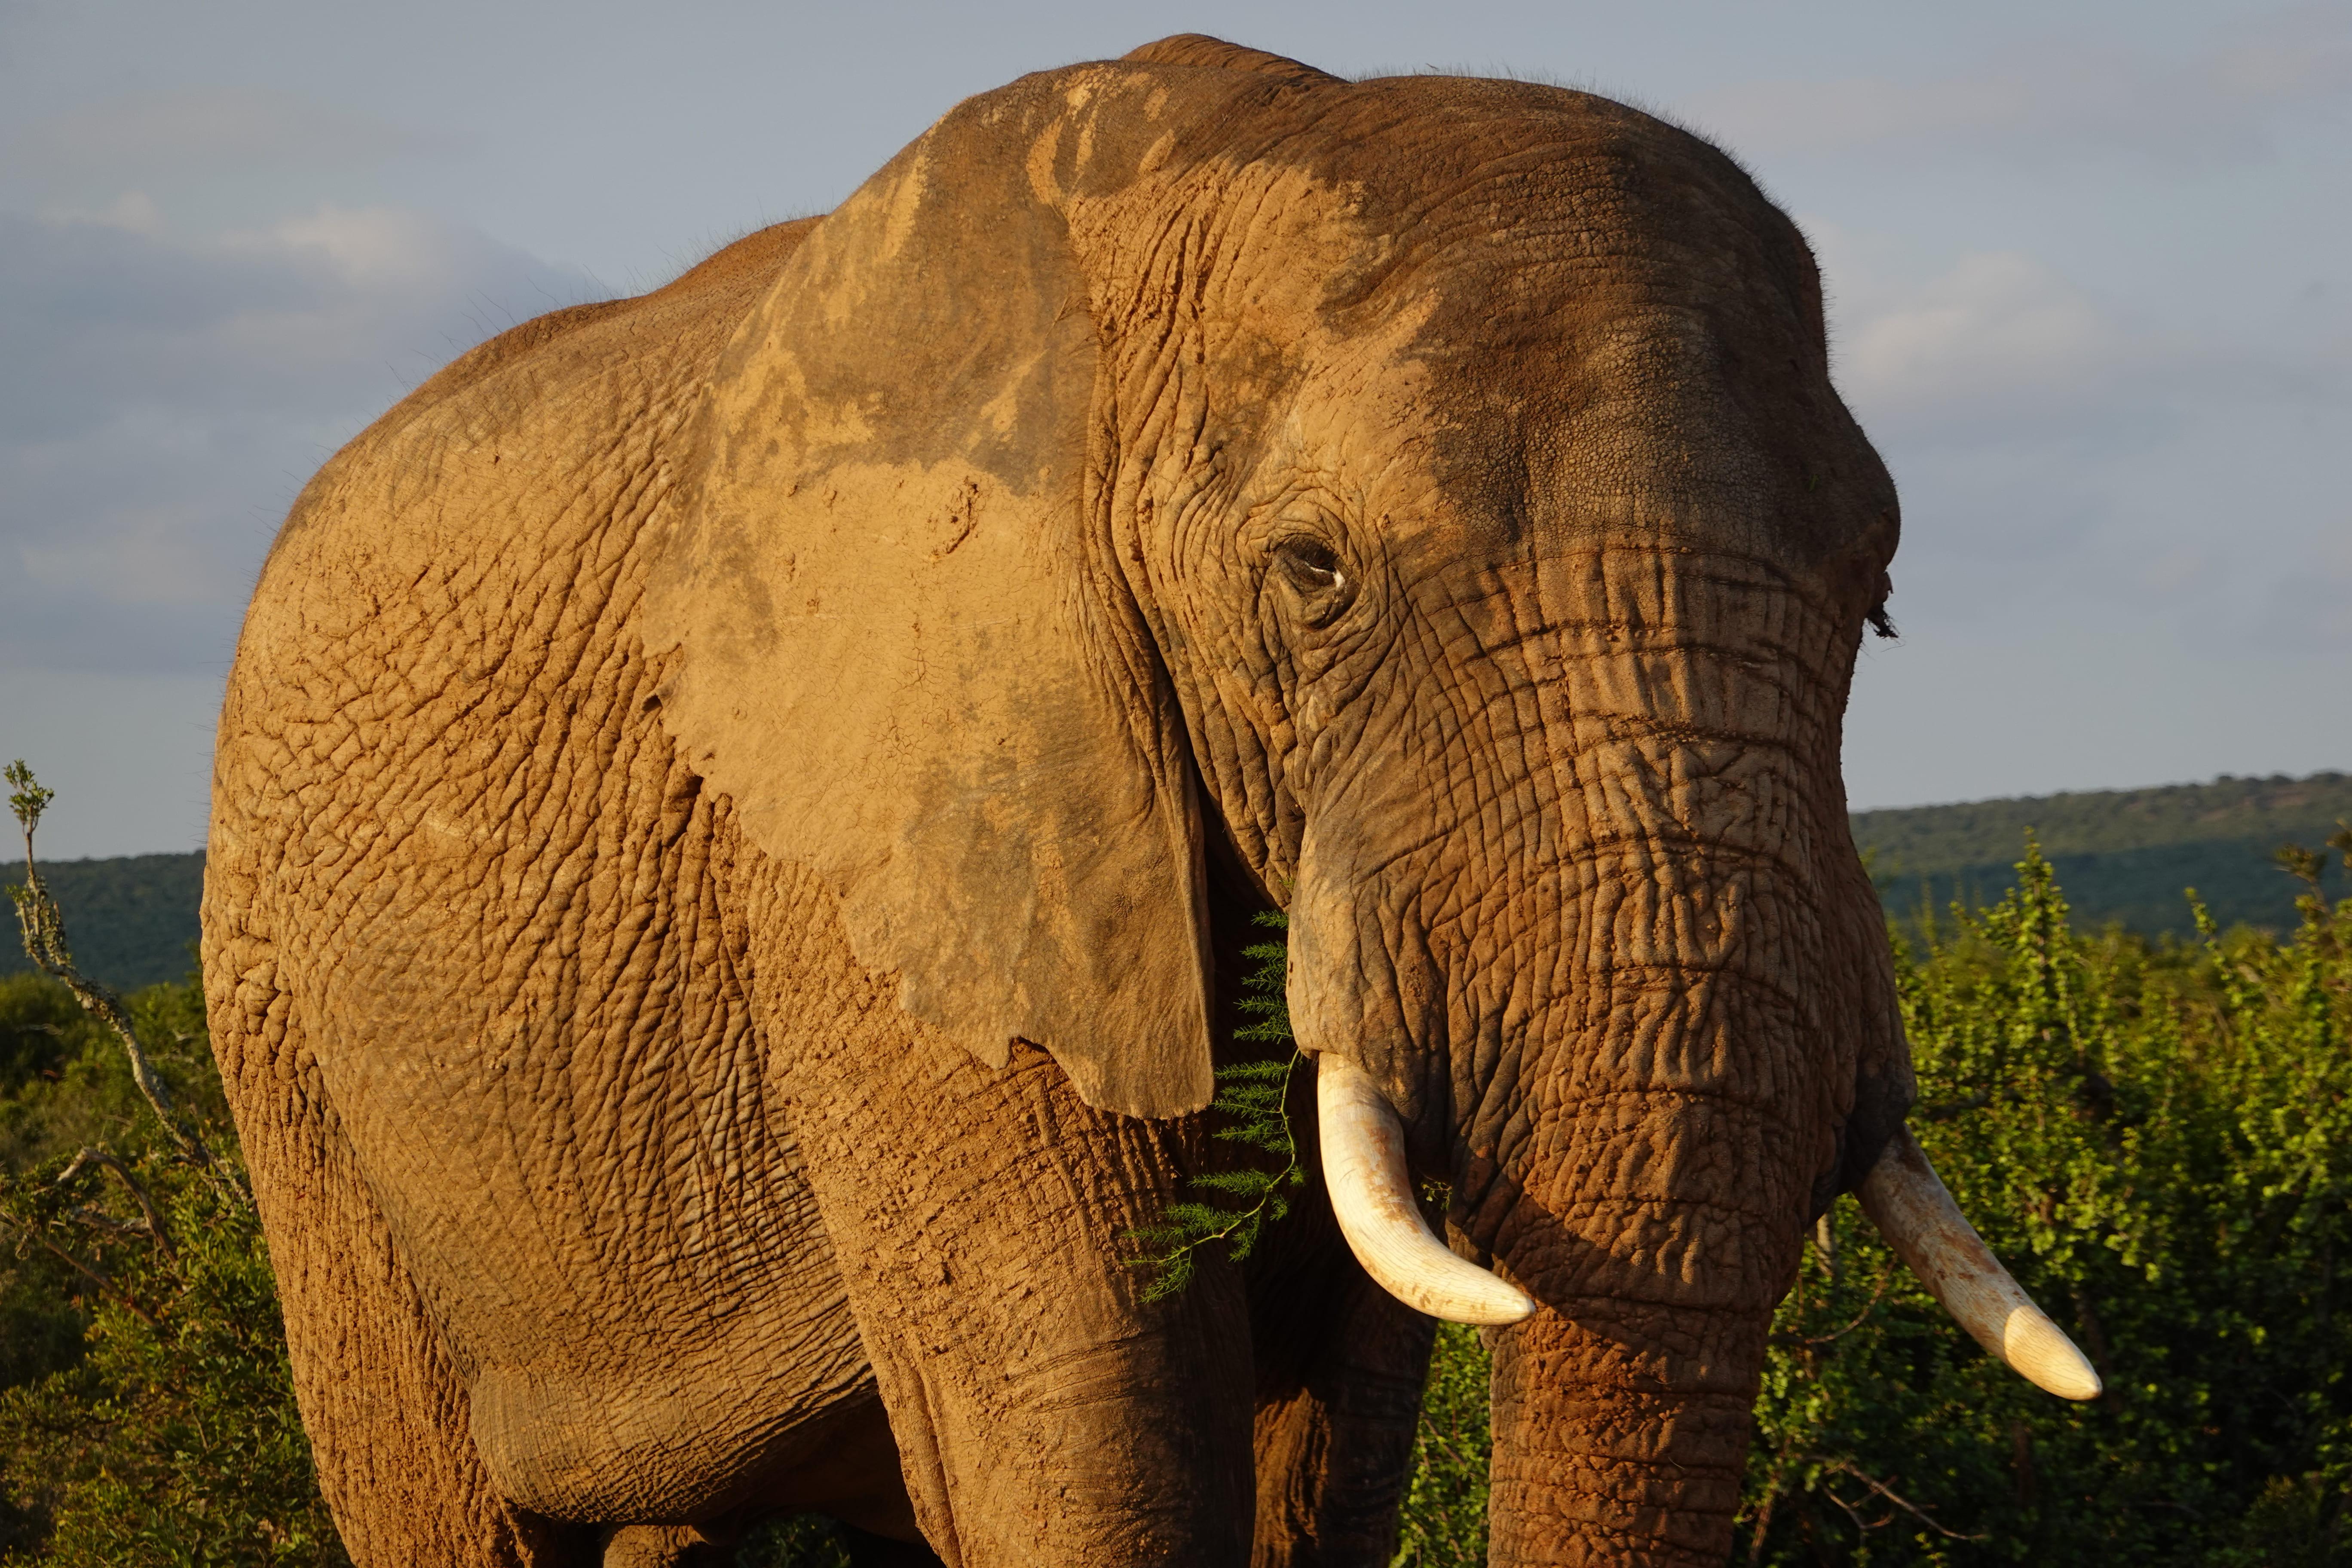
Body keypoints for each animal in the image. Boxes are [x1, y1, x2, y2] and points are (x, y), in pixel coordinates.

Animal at [201, 34, 2098, 1568]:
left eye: (1877, 590)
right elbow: (1092, 1429)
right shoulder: (900, 851)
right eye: (1314, 573)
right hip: (293, 1049)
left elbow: (1332, 1437)